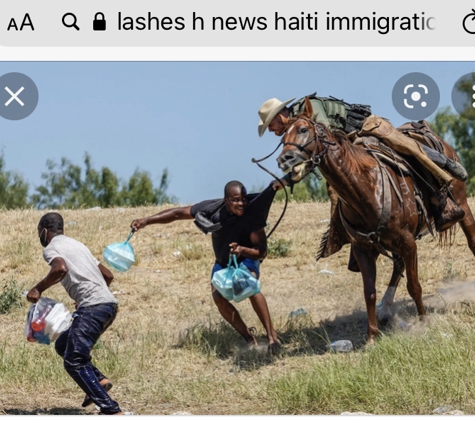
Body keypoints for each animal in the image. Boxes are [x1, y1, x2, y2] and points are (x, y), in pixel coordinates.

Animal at [278, 97, 475, 344]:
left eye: (304, 130)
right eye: (282, 138)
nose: (284, 159)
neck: (367, 189)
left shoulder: (408, 242)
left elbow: (414, 285)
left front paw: (423, 321)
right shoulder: (364, 248)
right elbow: (369, 292)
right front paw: (372, 336)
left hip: (462, 206)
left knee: (471, 241)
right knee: (398, 266)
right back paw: (386, 308)